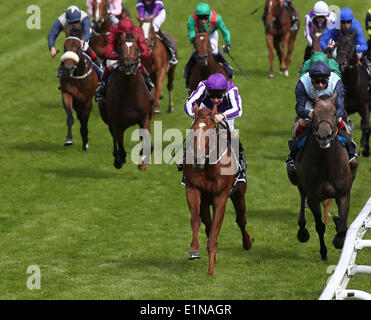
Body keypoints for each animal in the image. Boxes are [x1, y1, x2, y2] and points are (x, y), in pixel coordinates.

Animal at [98, 33, 153, 171]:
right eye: (120, 49)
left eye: (137, 49)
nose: (128, 66)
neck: (129, 93)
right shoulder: (116, 122)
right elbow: (120, 142)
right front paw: (120, 158)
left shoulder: (144, 118)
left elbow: (146, 138)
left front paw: (143, 161)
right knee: (114, 136)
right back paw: (117, 158)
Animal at [185, 105, 254, 276]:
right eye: (193, 129)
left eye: (210, 131)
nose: (197, 160)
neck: (208, 167)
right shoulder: (193, 190)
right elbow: (196, 220)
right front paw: (194, 250)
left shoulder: (220, 197)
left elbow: (217, 226)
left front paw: (210, 269)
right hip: (205, 202)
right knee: (207, 224)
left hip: (239, 194)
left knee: (241, 219)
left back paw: (247, 242)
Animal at [290, 92, 358, 260]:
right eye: (314, 113)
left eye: (334, 113)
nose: (323, 137)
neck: (326, 164)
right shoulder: (313, 197)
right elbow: (320, 226)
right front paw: (323, 251)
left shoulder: (344, 193)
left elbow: (343, 225)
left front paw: (339, 237)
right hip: (297, 180)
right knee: (302, 196)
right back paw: (302, 231)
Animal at [338, 29, 370, 157]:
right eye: (338, 44)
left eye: (351, 45)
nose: (341, 63)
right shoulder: (344, 107)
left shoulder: (364, 105)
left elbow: (366, 127)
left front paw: (365, 150)